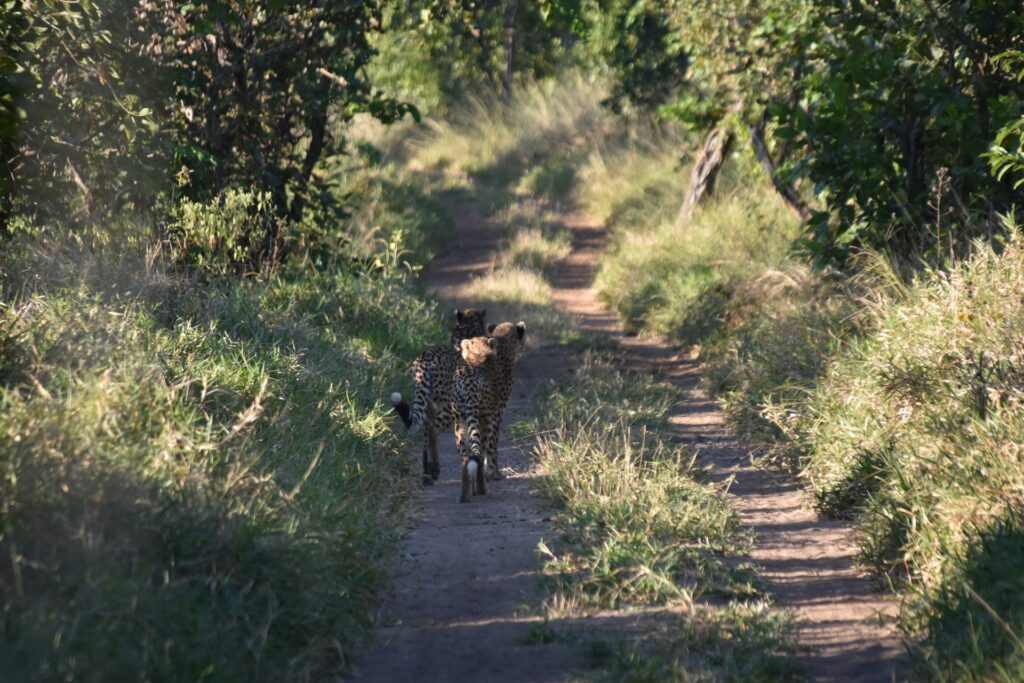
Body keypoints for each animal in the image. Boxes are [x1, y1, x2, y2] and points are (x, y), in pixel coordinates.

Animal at [390, 308, 487, 484]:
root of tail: (425, 359)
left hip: (427, 401)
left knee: (426, 428)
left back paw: (426, 472)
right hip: (448, 405)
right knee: (433, 429)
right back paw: (434, 468)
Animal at [452, 321, 526, 503]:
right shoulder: (495, 413)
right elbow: (492, 446)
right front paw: (494, 473)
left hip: (461, 421)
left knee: (466, 459)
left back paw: (464, 495)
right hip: (482, 416)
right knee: (480, 452)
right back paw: (482, 488)